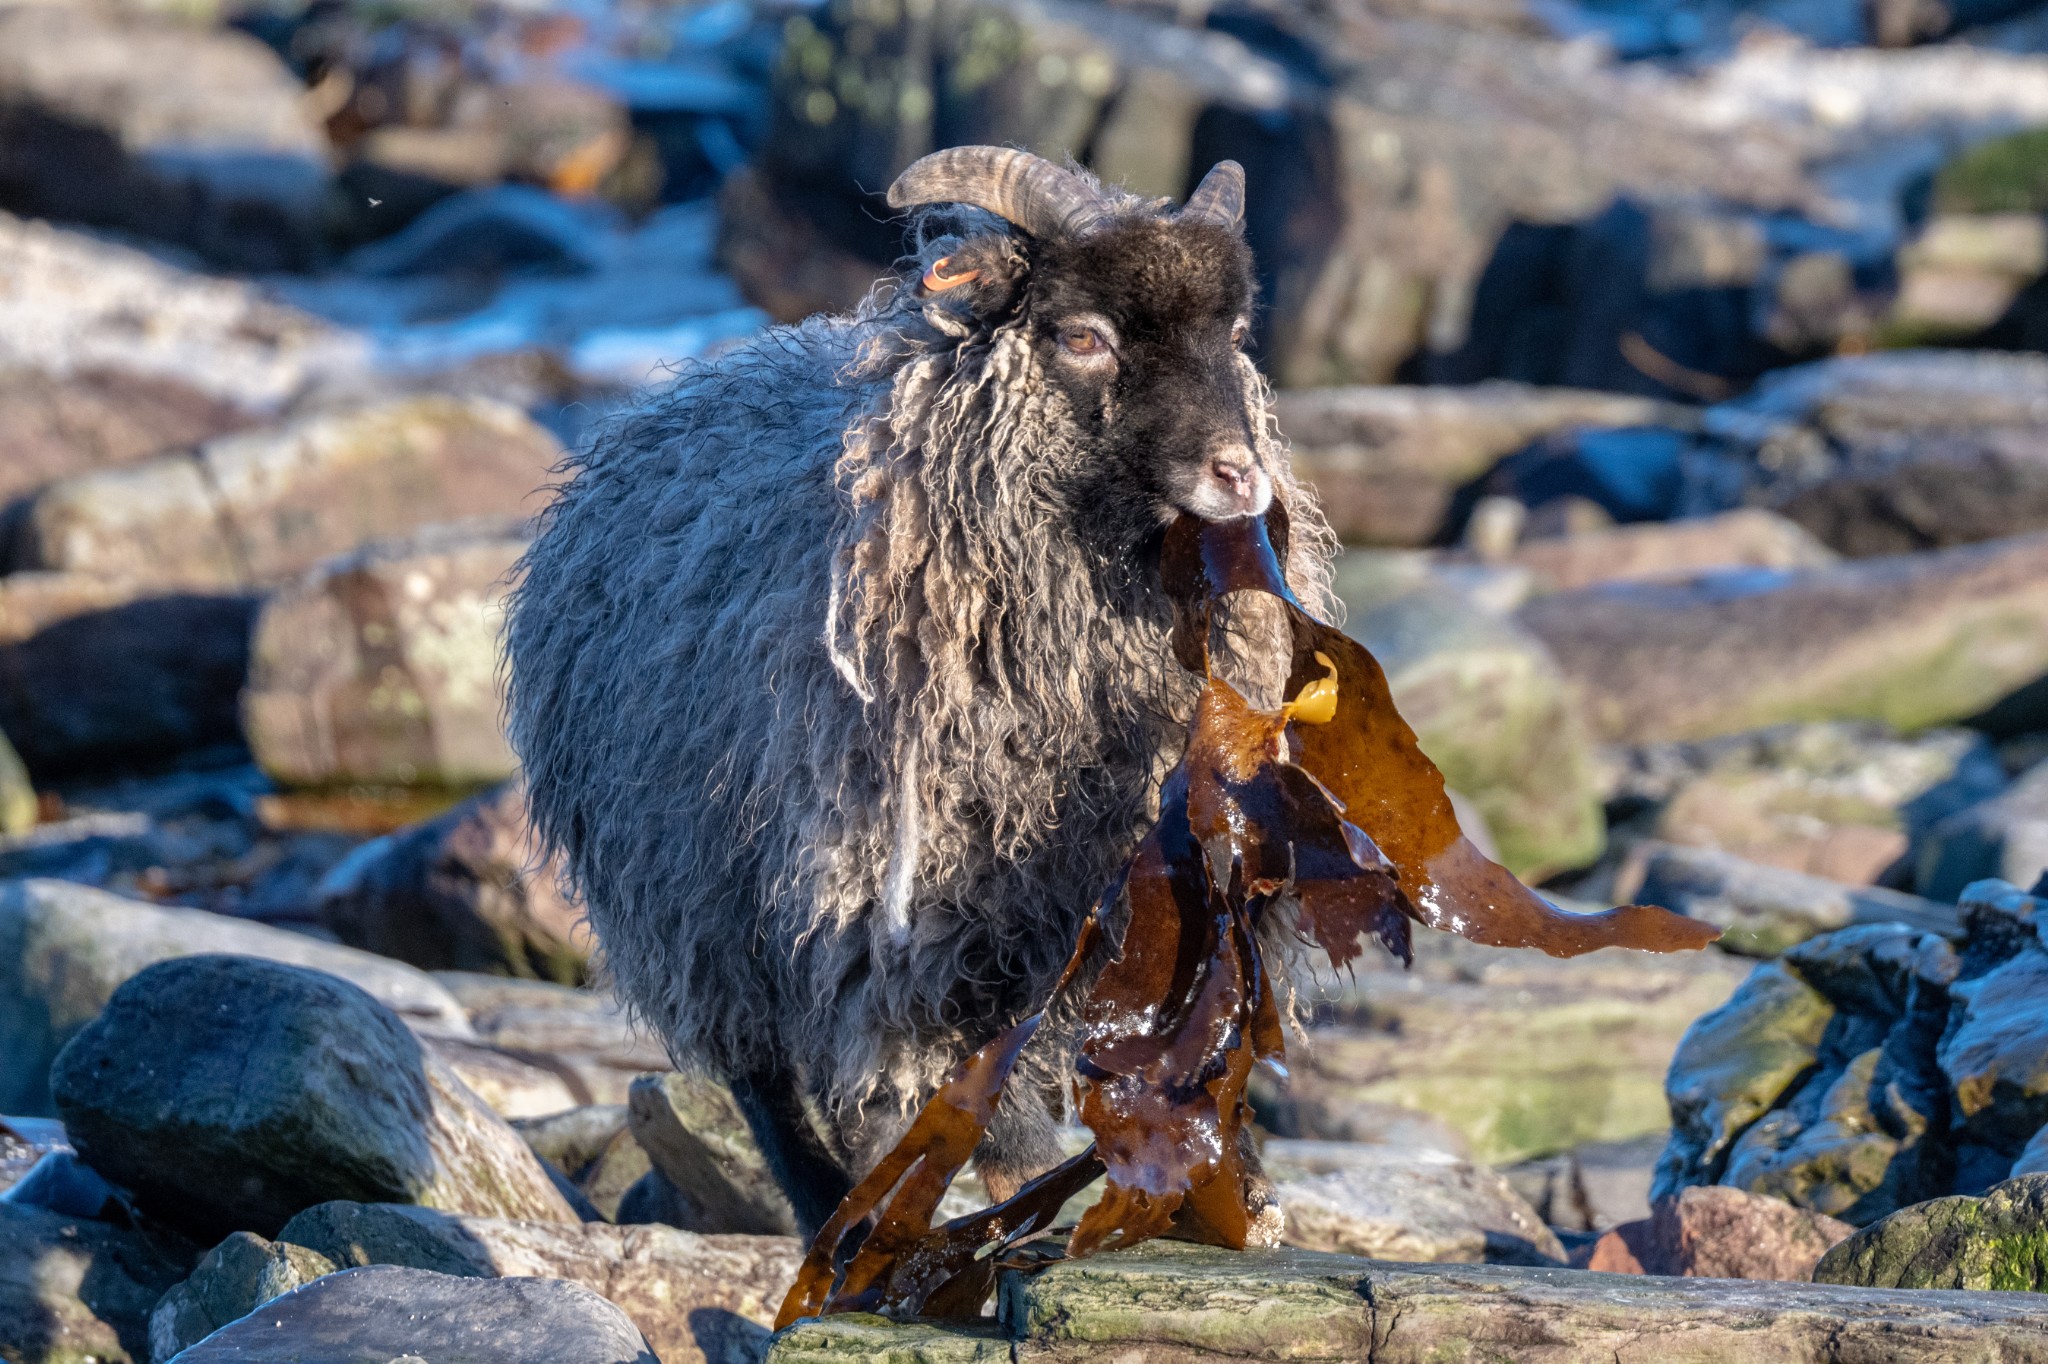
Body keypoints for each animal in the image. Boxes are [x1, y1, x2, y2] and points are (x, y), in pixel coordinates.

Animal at [504, 147, 1337, 1235]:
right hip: (702, 910)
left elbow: (1194, 1028)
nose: (1239, 476)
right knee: (774, 1090)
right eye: (1083, 336)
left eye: (1233, 336)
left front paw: (1239, 1188)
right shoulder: (901, 912)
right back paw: (845, 1213)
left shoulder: (1160, 875)